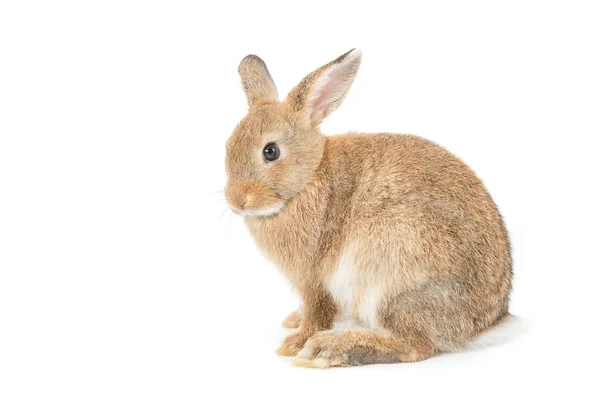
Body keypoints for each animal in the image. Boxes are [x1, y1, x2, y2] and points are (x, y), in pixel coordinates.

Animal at [223, 48, 512, 368]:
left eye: (270, 151)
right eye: (228, 146)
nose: (235, 200)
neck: (309, 177)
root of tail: (480, 324)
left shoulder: (314, 279)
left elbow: (318, 312)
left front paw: (294, 343)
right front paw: (293, 322)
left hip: (391, 279)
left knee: (415, 347)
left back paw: (329, 348)